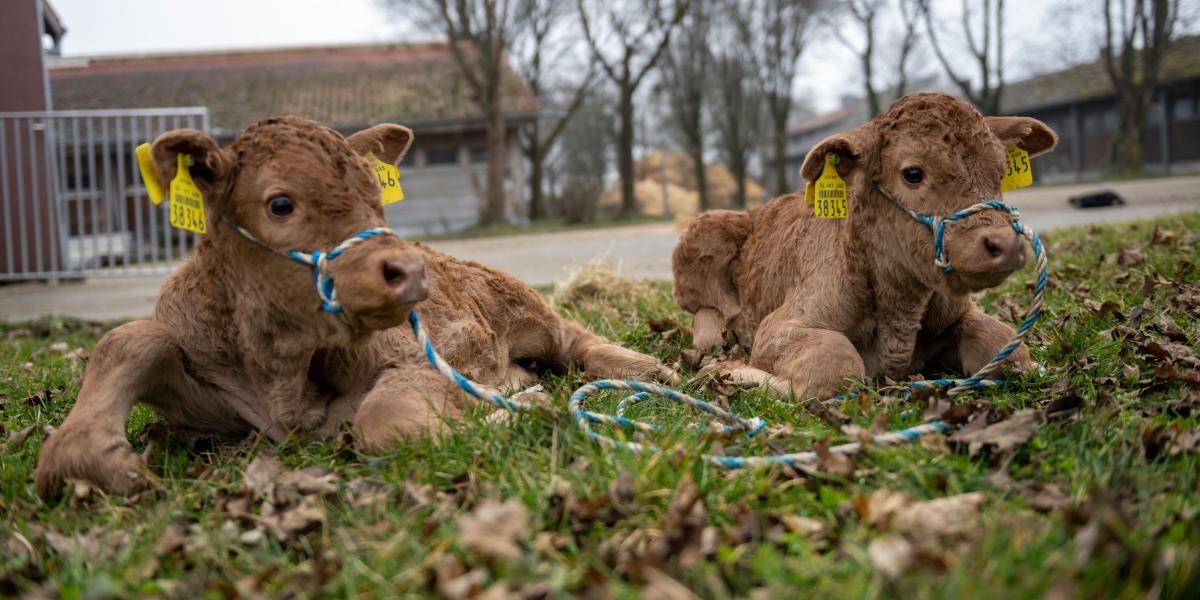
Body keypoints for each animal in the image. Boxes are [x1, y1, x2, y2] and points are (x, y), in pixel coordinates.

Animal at [671, 93, 1058, 399]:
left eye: (1001, 171)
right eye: (913, 173)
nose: (1004, 244)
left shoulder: (959, 313)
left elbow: (1005, 345)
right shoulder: (778, 326)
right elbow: (837, 364)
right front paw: (735, 373)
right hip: (702, 237)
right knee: (705, 313)